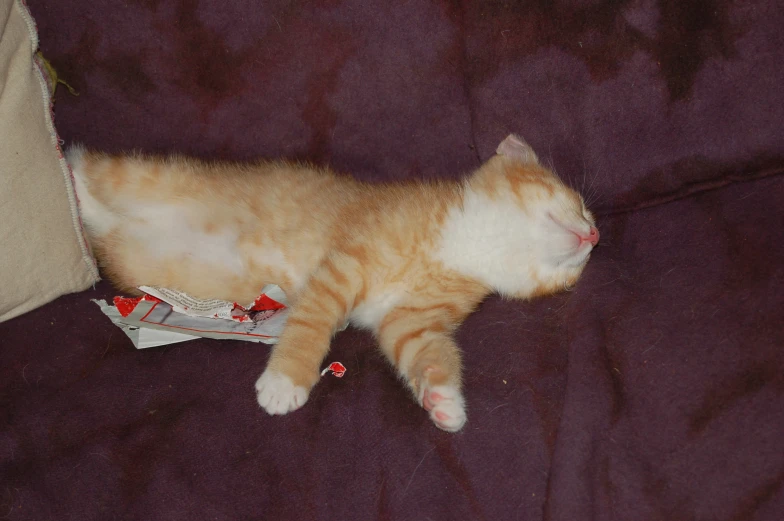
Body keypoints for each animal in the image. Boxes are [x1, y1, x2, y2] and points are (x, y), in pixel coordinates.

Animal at [69, 134, 600, 430]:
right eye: (578, 203)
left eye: (591, 227)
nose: (594, 234)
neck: (466, 242)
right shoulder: (344, 267)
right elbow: (310, 324)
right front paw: (285, 381)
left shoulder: (409, 319)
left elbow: (422, 348)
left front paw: (442, 399)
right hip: (147, 178)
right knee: (95, 171)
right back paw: (68, 173)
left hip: (135, 261)